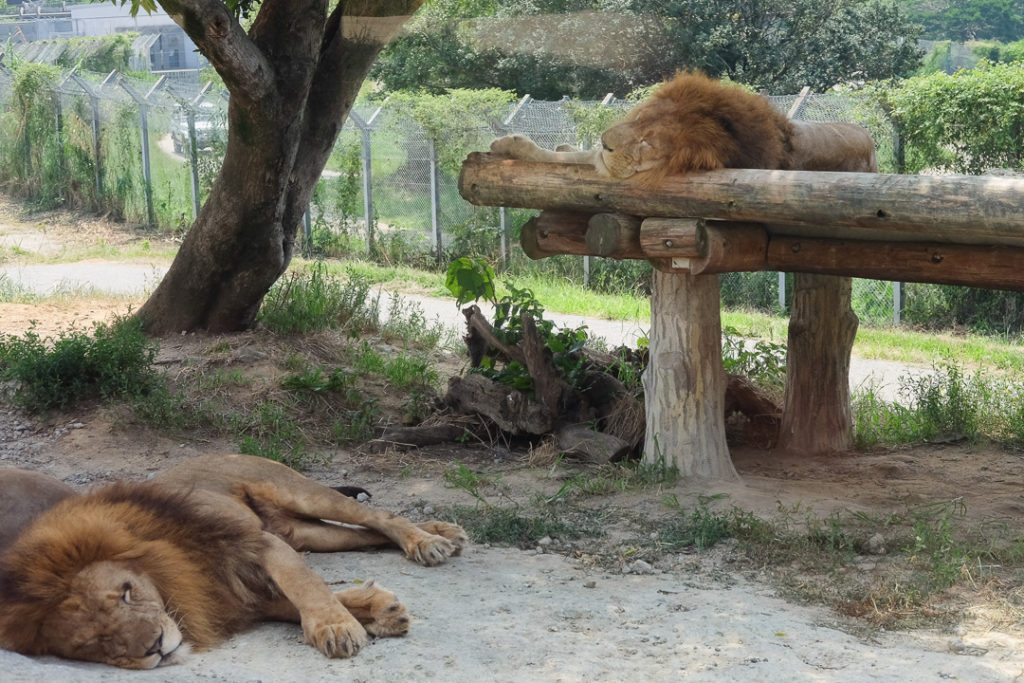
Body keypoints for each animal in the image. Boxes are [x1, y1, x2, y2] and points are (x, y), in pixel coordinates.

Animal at [0, 456, 468, 671]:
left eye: (126, 594)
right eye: (90, 643)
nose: (155, 647)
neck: (179, 572)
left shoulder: (258, 545)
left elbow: (305, 585)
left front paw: (337, 628)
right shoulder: (237, 591)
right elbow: (299, 601)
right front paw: (376, 612)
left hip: (300, 494)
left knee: (379, 515)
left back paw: (429, 542)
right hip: (308, 534)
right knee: (367, 532)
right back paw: (443, 533)